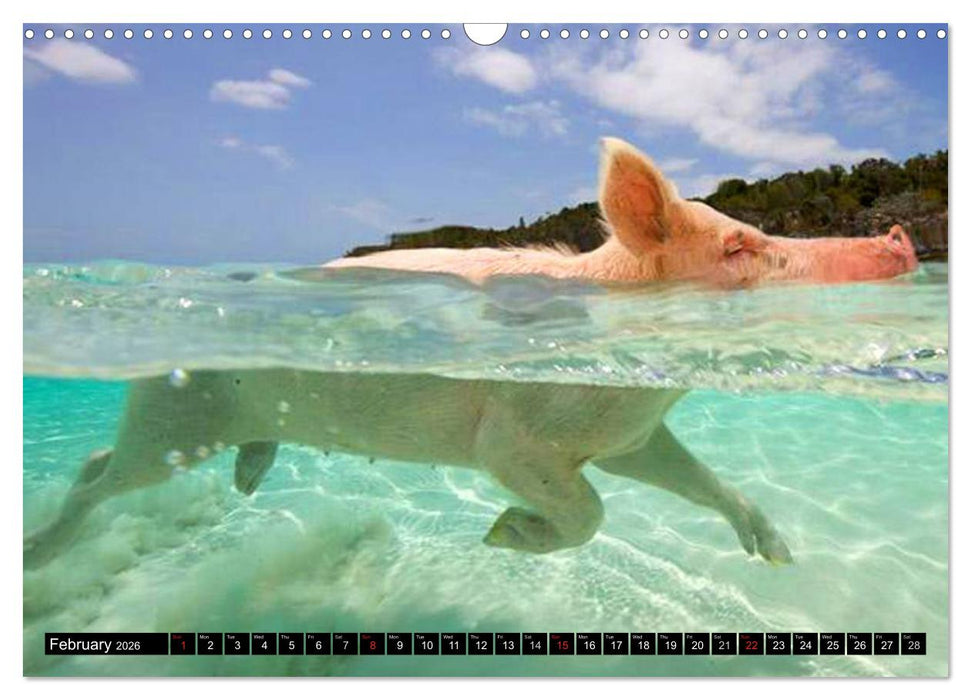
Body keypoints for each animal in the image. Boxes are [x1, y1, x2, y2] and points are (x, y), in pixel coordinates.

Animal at [23, 370, 793, 569]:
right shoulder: (517, 438)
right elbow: (588, 509)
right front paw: (504, 535)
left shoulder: (630, 433)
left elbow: (687, 474)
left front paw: (775, 552)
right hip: (180, 414)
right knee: (104, 472)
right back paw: (38, 555)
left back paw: (248, 476)